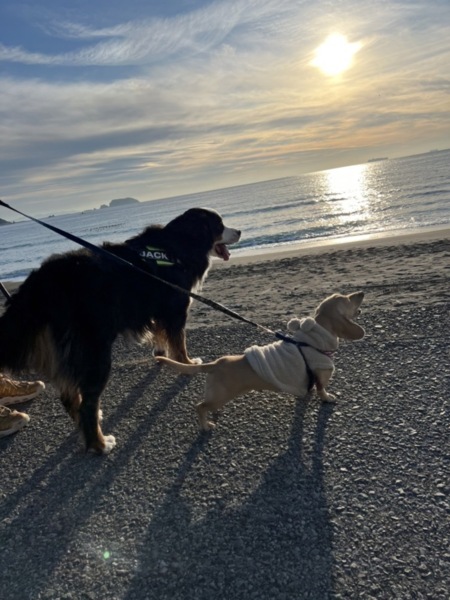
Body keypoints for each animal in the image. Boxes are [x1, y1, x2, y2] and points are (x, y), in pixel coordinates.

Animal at [156, 292, 364, 428]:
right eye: (347, 299)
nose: (361, 292)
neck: (313, 341)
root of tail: (216, 363)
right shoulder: (321, 377)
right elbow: (322, 391)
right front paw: (328, 398)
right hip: (221, 396)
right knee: (199, 407)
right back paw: (206, 426)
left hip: (217, 395)